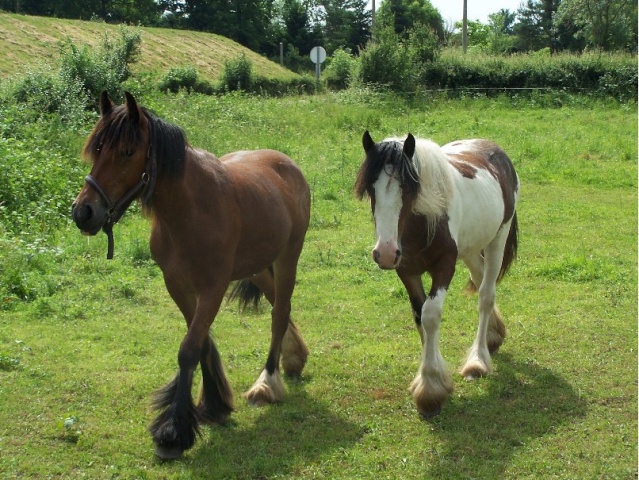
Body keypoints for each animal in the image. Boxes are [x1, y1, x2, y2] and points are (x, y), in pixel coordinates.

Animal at [72, 92, 312, 460]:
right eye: (96, 150)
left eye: (127, 152)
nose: (83, 212)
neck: (189, 210)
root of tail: (287, 165)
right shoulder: (178, 286)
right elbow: (201, 344)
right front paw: (212, 405)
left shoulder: (213, 287)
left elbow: (188, 349)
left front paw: (173, 432)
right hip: (257, 266)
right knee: (276, 303)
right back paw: (294, 356)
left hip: (287, 257)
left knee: (279, 312)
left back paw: (267, 382)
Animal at [356, 130, 520, 416]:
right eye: (371, 189)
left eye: (408, 188)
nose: (385, 253)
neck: (420, 222)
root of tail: (493, 148)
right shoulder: (407, 271)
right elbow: (419, 315)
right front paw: (432, 381)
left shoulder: (445, 266)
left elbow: (431, 315)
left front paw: (430, 388)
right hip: (470, 247)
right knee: (479, 279)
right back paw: (494, 335)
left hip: (498, 239)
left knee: (486, 296)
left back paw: (478, 360)